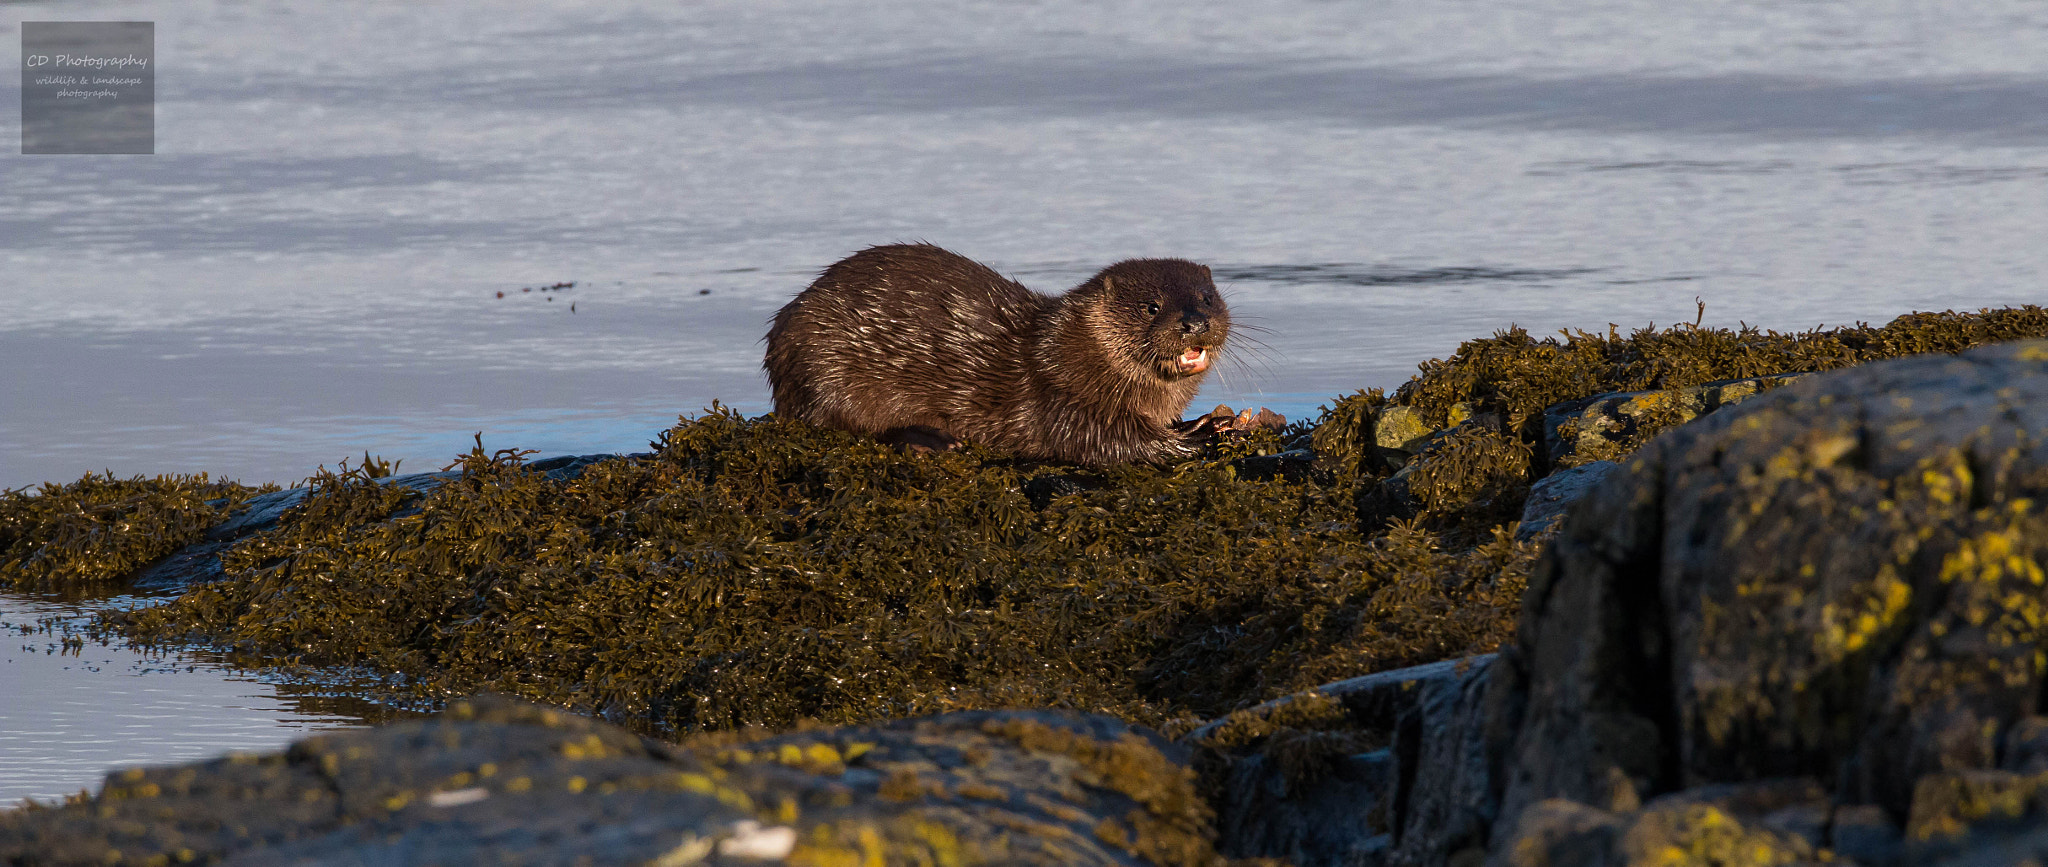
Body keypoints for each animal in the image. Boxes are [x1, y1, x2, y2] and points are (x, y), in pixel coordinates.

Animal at [763, 243, 1230, 466]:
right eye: (1152, 306)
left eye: (1207, 298)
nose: (1194, 322)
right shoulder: (1062, 395)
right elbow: (1107, 443)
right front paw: (1198, 433)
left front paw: (1196, 422)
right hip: (822, 366)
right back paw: (933, 440)